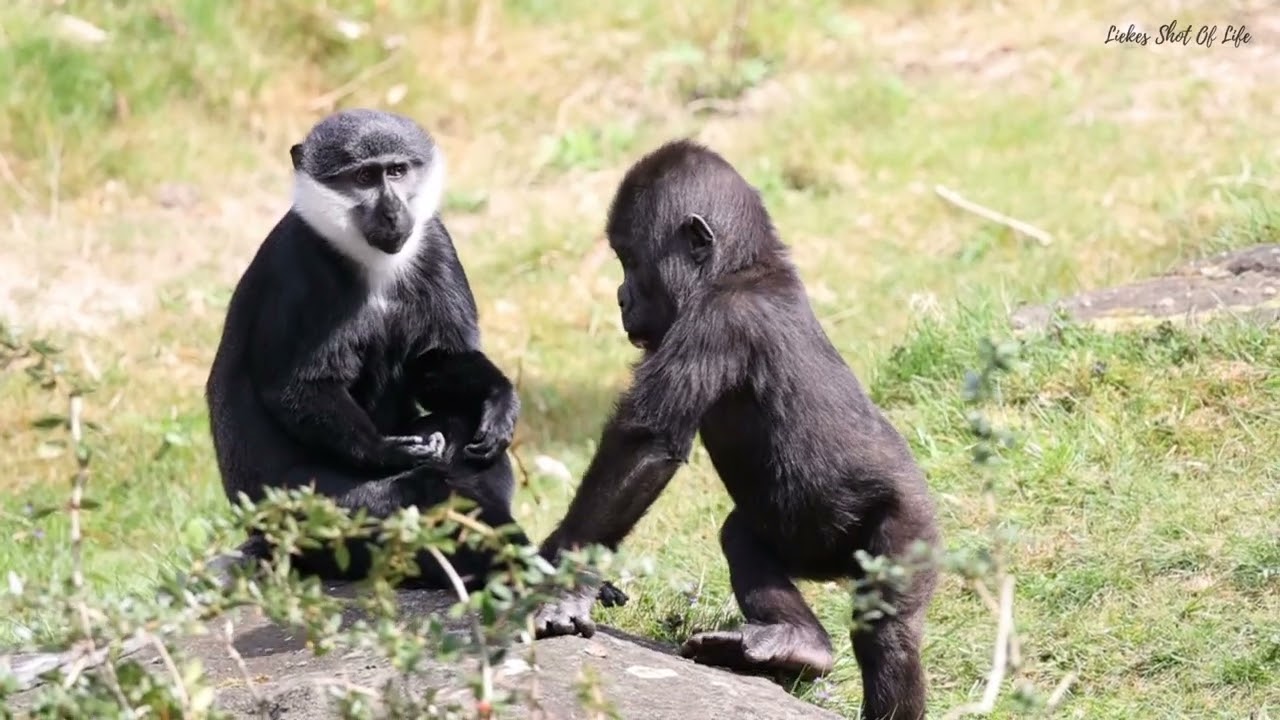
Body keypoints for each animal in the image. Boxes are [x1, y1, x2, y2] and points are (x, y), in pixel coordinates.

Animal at [204, 108, 627, 606]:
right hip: (311, 518)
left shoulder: (434, 242)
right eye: (364, 177)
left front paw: (500, 399)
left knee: (465, 435)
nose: (392, 211)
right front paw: (384, 450)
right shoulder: (298, 268)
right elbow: (295, 387)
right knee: (418, 489)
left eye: (397, 171)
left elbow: (435, 359)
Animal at [529, 139, 940, 719]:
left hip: (911, 526)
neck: (744, 266)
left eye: (630, 261)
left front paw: (565, 576)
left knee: (890, 631)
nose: (620, 297)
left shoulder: (717, 318)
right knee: (742, 535)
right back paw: (798, 644)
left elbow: (645, 442)